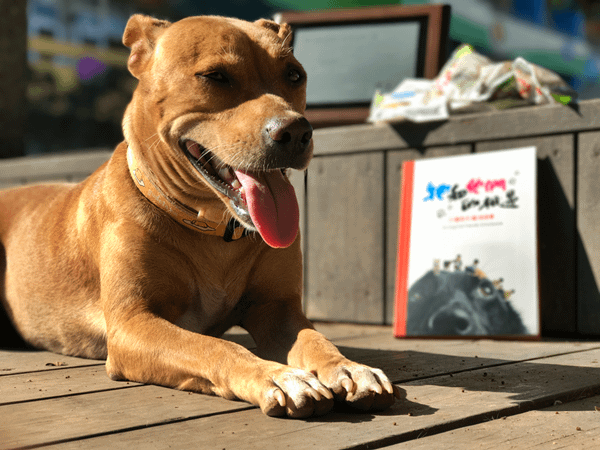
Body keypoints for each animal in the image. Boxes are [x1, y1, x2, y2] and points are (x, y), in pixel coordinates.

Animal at [1, 14, 404, 418]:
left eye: (294, 75)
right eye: (215, 76)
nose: (296, 131)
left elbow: (316, 340)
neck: (210, 229)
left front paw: (350, 368)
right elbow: (212, 346)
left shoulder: (277, 309)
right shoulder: (134, 322)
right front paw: (278, 376)